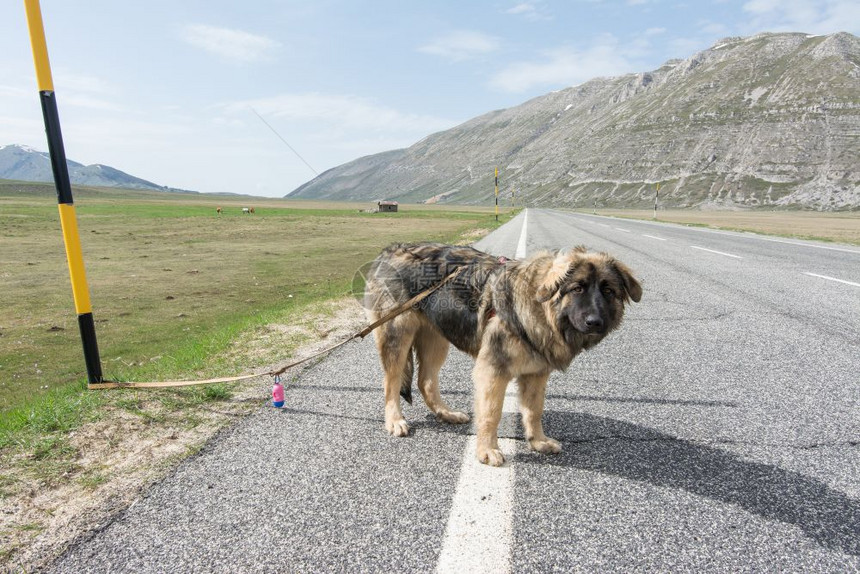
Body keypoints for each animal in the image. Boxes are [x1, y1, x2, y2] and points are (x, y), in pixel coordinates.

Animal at [362, 243, 640, 468]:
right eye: (577, 288)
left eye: (608, 291)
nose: (595, 322)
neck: (539, 308)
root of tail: (387, 252)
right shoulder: (493, 371)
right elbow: (491, 413)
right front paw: (487, 450)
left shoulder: (536, 374)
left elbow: (534, 411)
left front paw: (538, 441)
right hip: (397, 335)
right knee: (391, 383)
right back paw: (395, 420)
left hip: (436, 339)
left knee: (425, 381)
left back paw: (446, 413)